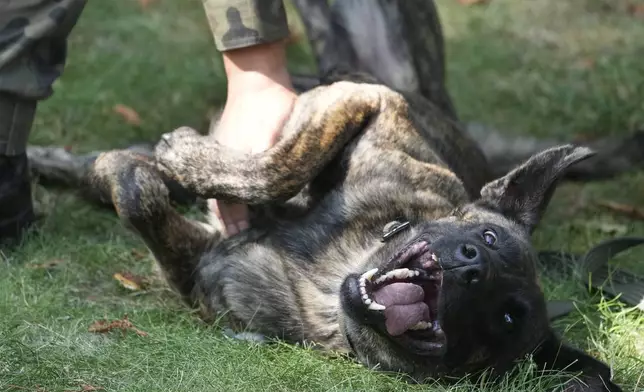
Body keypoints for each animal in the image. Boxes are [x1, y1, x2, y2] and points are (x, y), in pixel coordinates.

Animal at [84, 69, 620, 390]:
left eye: (507, 318)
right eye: (489, 239)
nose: (474, 265)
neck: (332, 289)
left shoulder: (202, 270)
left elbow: (140, 202)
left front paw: (130, 169)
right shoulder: (366, 101)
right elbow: (285, 164)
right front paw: (177, 159)